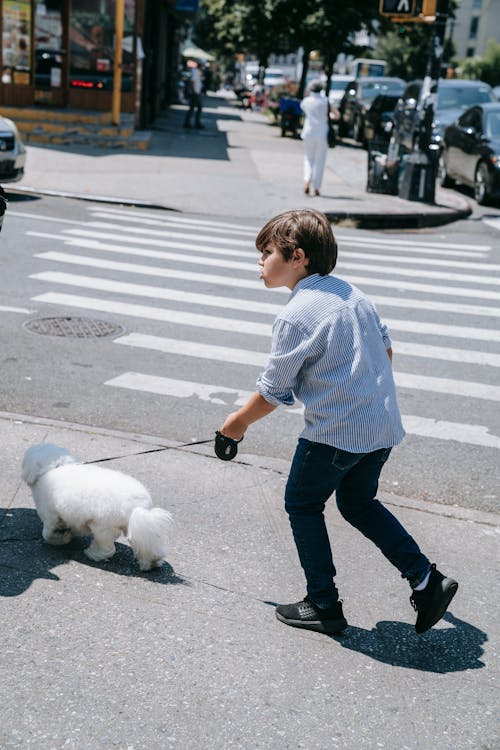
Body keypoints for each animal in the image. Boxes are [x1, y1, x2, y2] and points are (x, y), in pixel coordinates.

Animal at [21, 444, 173, 572]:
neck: (55, 466)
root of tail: (138, 506)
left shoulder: (50, 516)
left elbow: (47, 534)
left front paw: (61, 539)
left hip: (103, 527)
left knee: (108, 549)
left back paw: (93, 554)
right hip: (137, 526)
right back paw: (151, 562)